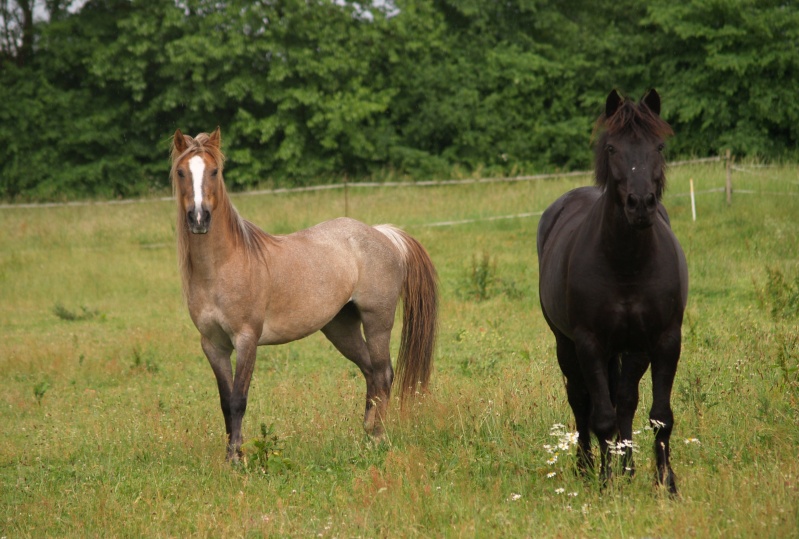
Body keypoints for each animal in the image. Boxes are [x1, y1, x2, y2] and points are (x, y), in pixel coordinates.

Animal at [171, 126, 440, 460]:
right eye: (181, 172)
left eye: (214, 171)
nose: (199, 218)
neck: (223, 266)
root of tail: (381, 233)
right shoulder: (213, 345)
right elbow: (225, 402)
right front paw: (231, 454)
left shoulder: (246, 340)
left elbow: (238, 400)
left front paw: (238, 459)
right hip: (340, 327)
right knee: (369, 372)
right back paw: (365, 433)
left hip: (378, 320)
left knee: (383, 373)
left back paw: (378, 437)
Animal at [540, 89, 692, 494]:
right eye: (612, 148)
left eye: (658, 146)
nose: (640, 205)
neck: (627, 264)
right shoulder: (589, 342)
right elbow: (601, 416)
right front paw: (607, 484)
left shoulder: (664, 340)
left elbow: (658, 416)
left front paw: (666, 483)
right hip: (566, 344)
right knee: (581, 401)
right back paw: (587, 466)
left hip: (632, 349)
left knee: (625, 399)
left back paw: (628, 467)